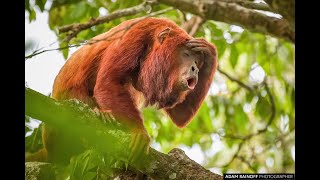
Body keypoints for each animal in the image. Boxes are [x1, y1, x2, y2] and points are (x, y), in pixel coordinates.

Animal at [26, 17, 218, 163]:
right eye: (186, 54)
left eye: (198, 61)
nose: (195, 69)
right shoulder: (135, 34)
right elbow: (108, 81)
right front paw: (138, 132)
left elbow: (180, 115)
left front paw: (209, 51)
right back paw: (101, 115)